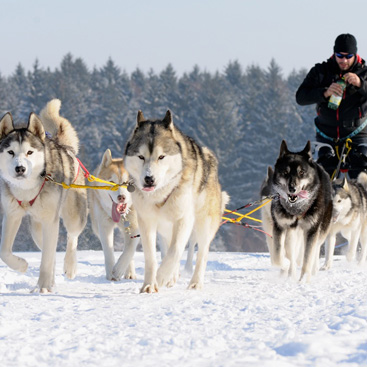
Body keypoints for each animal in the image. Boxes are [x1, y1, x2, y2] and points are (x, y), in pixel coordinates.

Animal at [0, 98, 87, 294]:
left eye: (29, 152)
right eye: (10, 152)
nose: (20, 168)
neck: (27, 189)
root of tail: (63, 146)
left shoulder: (50, 221)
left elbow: (47, 259)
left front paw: (44, 288)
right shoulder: (12, 215)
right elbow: (4, 251)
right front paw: (22, 265)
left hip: (72, 215)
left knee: (71, 238)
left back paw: (70, 266)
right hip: (36, 228)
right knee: (51, 251)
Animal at [89, 150, 141, 282]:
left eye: (129, 184)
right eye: (111, 182)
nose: (121, 197)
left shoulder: (135, 226)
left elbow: (129, 250)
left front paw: (118, 270)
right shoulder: (104, 226)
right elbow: (108, 250)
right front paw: (110, 274)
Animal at [125, 109, 229, 294]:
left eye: (161, 156)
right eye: (141, 156)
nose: (149, 179)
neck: (160, 195)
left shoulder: (183, 220)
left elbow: (175, 252)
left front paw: (160, 278)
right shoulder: (147, 222)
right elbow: (151, 257)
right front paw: (149, 284)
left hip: (203, 224)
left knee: (201, 254)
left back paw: (194, 282)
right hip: (165, 229)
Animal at [270, 141, 334, 282]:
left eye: (302, 172)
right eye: (285, 172)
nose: (292, 188)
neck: (297, 209)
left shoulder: (312, 230)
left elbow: (308, 257)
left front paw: (304, 280)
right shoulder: (280, 226)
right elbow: (278, 256)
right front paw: (286, 266)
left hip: (321, 229)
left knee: (315, 249)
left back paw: (312, 270)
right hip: (293, 231)